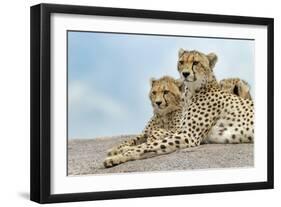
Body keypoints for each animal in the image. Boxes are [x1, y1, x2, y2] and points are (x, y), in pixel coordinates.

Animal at [103, 49, 254, 167]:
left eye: (196, 63)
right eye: (181, 62)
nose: (185, 74)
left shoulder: (188, 135)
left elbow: (149, 144)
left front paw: (117, 156)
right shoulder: (182, 132)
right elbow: (145, 142)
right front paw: (119, 150)